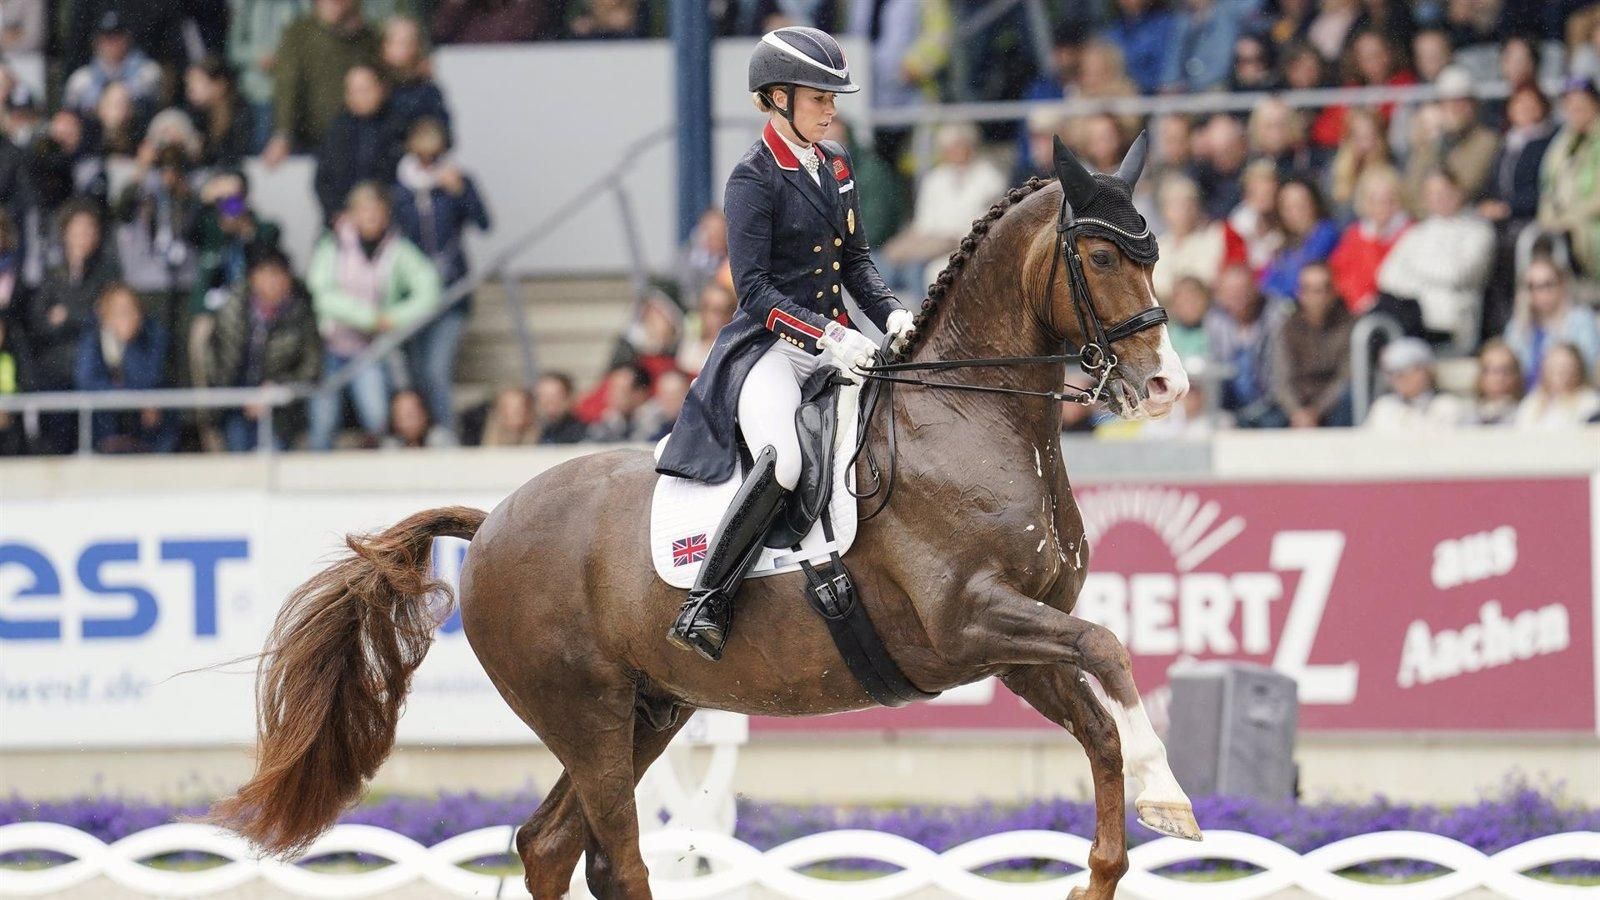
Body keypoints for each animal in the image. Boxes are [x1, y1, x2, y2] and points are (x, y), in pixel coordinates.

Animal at [219, 138, 1203, 896]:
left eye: (1155, 253)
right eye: (1104, 258)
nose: (1167, 386)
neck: (967, 415)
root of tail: (493, 520)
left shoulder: (1012, 642)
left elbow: (1100, 721)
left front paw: (1124, 840)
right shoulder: (970, 620)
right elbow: (1109, 651)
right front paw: (1172, 795)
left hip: (649, 711)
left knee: (552, 846)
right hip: (585, 713)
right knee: (614, 856)